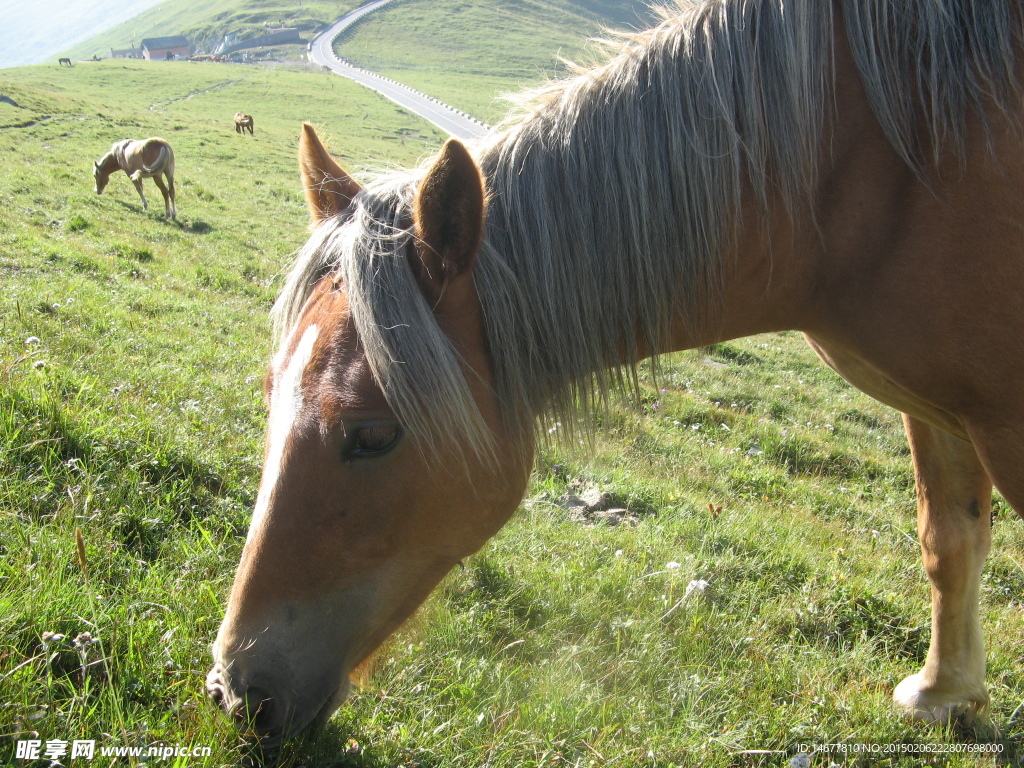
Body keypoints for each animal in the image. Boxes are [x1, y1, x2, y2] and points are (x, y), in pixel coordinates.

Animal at [209, 0, 1024, 749]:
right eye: (269, 393)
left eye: (375, 434)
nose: (234, 689)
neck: (895, 160)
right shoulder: (934, 406)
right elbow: (949, 542)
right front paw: (943, 694)